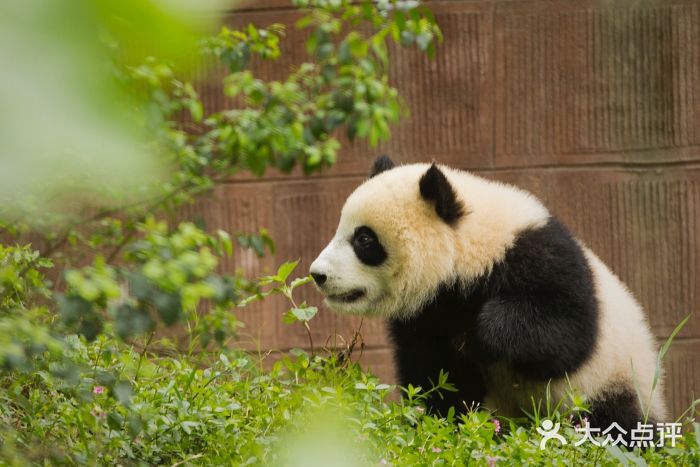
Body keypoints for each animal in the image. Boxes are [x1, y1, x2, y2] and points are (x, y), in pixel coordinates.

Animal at [310, 156, 668, 432]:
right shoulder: (425, 316)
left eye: (364, 240)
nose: (318, 274)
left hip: (613, 381)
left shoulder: (544, 258)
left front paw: (477, 334)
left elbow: (564, 334)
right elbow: (438, 374)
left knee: (615, 423)